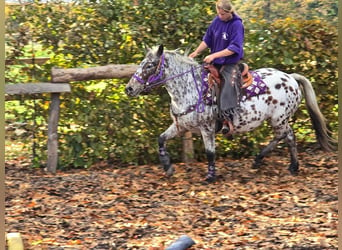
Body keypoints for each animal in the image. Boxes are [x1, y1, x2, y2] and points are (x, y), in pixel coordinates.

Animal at [125, 45, 334, 182]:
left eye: (150, 65)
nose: (129, 89)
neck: (190, 88)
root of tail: (291, 78)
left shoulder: (207, 128)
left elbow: (210, 153)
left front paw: (210, 176)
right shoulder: (182, 126)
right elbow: (161, 139)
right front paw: (168, 167)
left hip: (279, 119)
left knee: (286, 135)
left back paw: (277, 162)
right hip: (278, 120)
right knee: (285, 136)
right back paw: (275, 163)